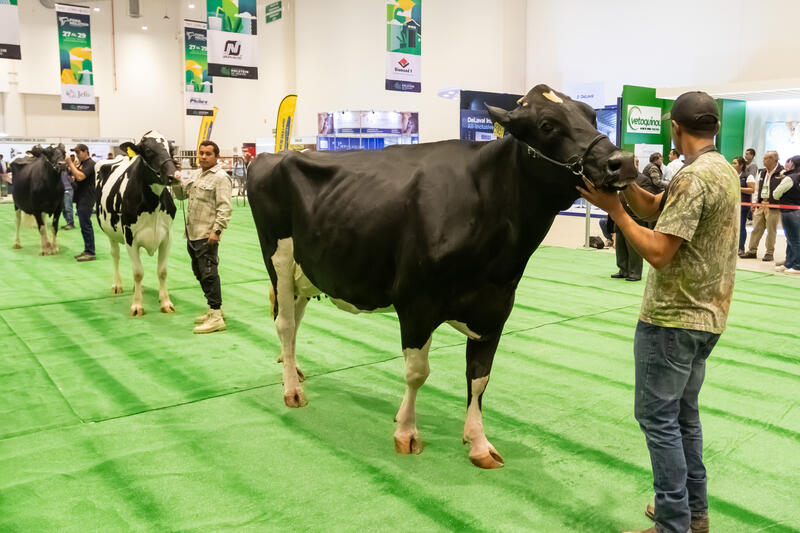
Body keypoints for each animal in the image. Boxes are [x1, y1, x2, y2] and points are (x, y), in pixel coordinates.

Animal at [96, 132, 179, 316]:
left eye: (170, 149)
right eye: (147, 150)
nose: (174, 176)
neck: (153, 205)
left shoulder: (167, 237)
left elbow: (162, 272)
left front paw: (166, 302)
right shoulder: (130, 238)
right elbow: (138, 272)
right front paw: (136, 306)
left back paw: (137, 289)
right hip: (110, 232)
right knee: (115, 255)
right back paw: (117, 285)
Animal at [248, 83, 636, 466]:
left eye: (591, 116)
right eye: (547, 125)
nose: (623, 161)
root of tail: (274, 155)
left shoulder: (495, 310)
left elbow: (479, 377)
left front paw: (479, 443)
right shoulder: (416, 303)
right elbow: (417, 372)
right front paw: (406, 433)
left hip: (306, 269)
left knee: (294, 318)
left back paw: (293, 369)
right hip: (278, 257)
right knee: (285, 323)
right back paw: (293, 390)